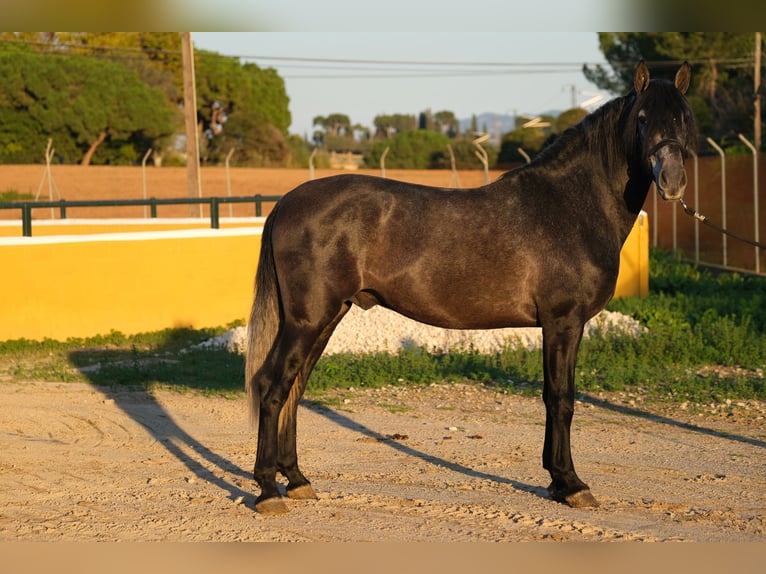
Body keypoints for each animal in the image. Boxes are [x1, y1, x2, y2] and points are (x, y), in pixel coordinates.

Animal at [244, 60, 696, 516]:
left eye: (683, 117)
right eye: (642, 119)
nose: (672, 180)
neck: (569, 206)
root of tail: (285, 203)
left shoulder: (560, 326)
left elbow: (555, 397)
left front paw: (556, 480)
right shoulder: (563, 323)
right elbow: (561, 399)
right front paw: (570, 484)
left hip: (328, 315)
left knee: (295, 387)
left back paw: (297, 480)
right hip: (307, 320)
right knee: (272, 385)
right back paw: (267, 490)